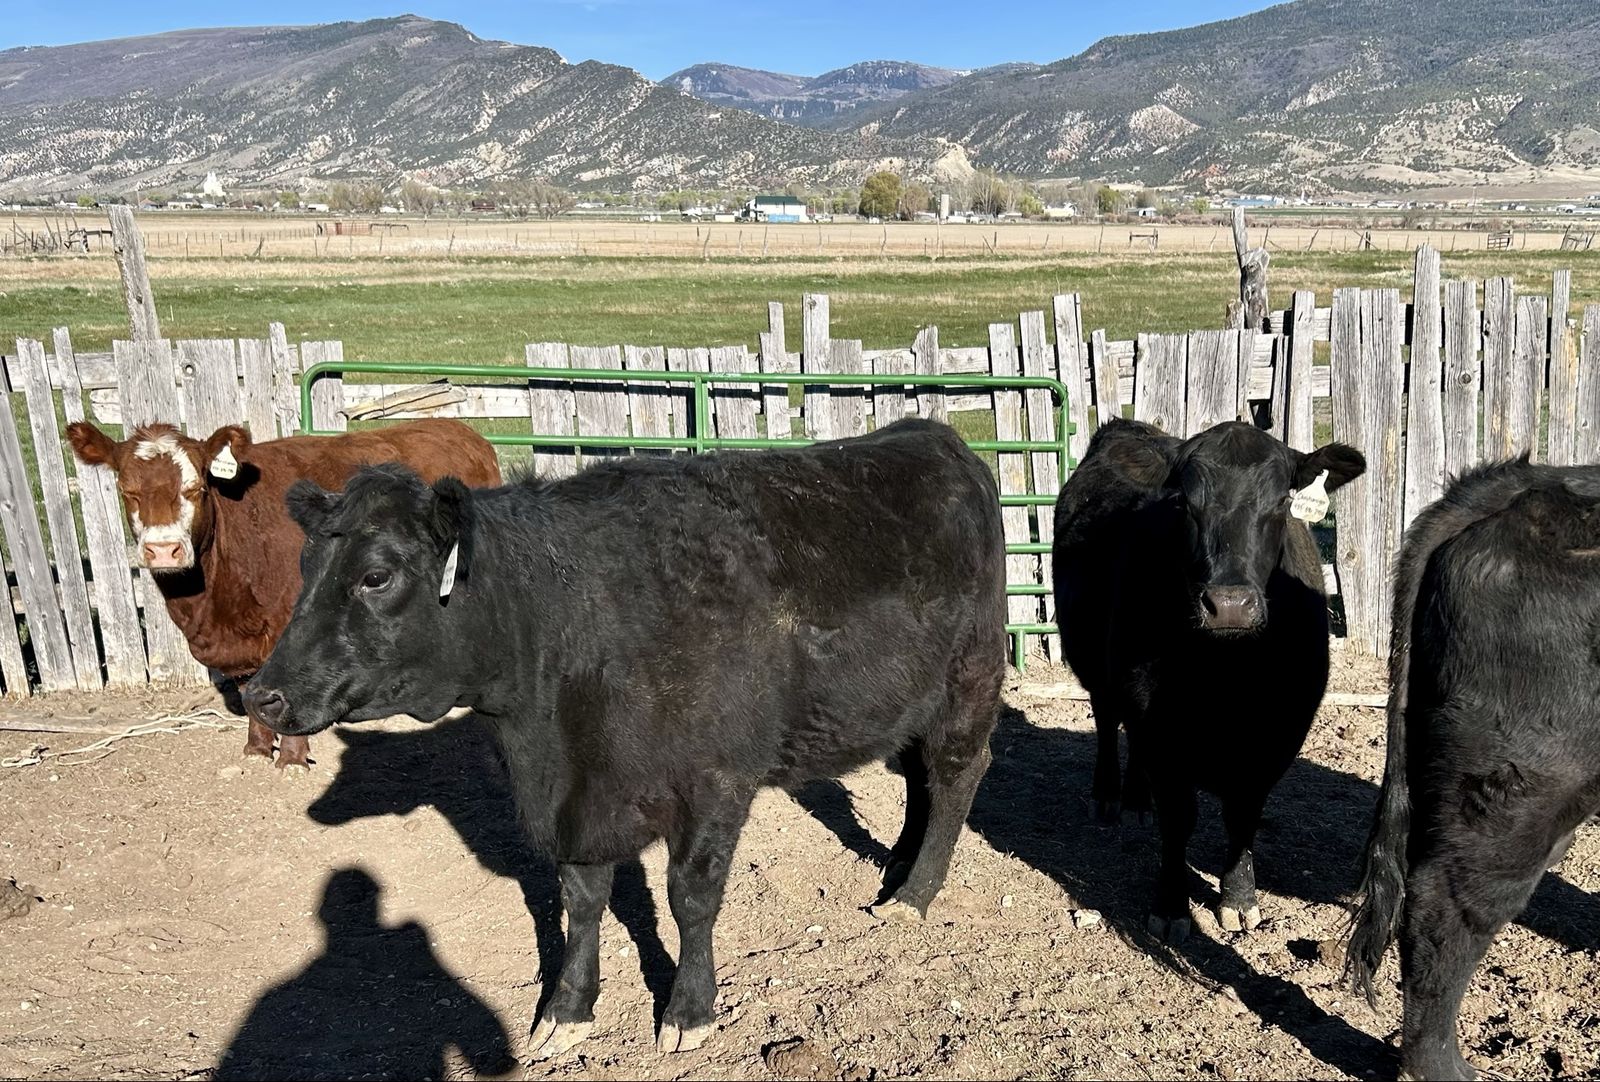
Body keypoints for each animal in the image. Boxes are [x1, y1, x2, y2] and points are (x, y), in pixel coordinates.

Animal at [66, 418, 501, 770]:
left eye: (196, 488)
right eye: (127, 489)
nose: (163, 549)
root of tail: (459, 430)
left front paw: (292, 758)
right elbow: (249, 691)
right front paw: (258, 749)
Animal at [242, 418, 1005, 1058]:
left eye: (376, 576)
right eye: (305, 569)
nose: (261, 694)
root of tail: (931, 436)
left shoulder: (714, 781)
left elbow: (689, 897)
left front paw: (688, 1012)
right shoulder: (579, 799)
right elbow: (582, 901)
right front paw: (567, 1010)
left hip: (969, 679)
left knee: (956, 773)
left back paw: (916, 893)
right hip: (904, 699)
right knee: (918, 778)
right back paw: (896, 870)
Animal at [1053, 419, 1365, 942]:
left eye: (1281, 500)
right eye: (1184, 502)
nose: (1231, 605)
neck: (1225, 679)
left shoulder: (1276, 736)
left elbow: (1242, 817)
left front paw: (1239, 899)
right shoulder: (1161, 734)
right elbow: (1180, 819)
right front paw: (1171, 905)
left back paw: (1137, 800)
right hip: (1097, 666)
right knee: (1107, 721)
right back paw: (1110, 796)